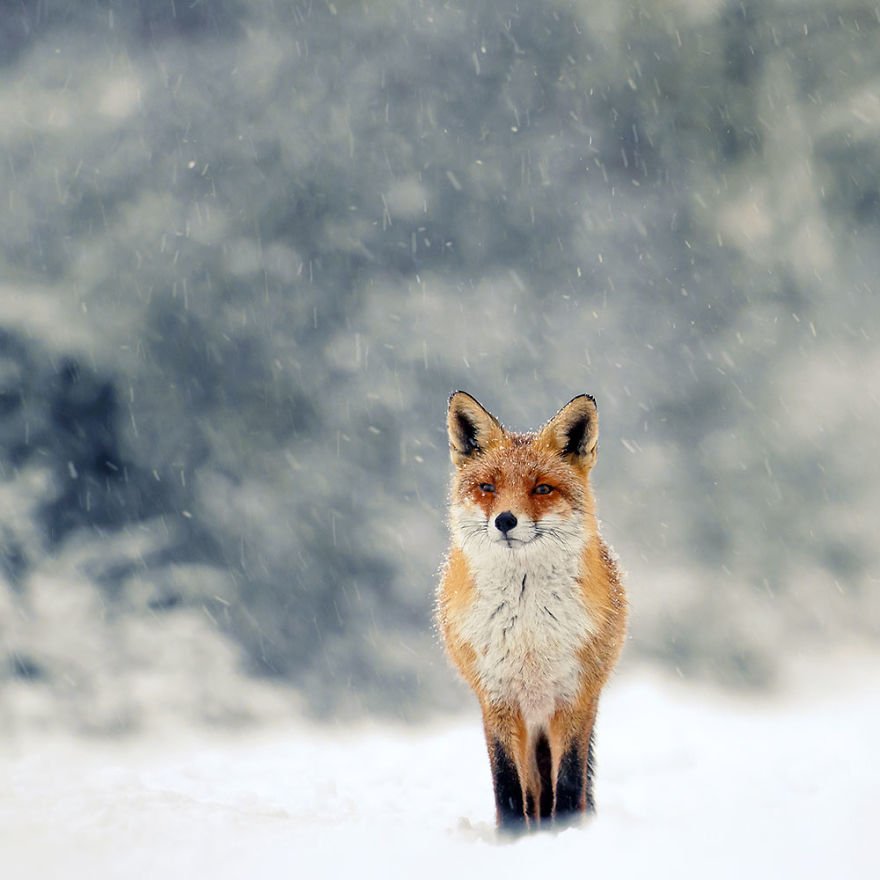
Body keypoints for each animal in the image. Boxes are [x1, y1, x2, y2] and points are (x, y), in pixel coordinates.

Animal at [436, 391, 627, 831]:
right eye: (487, 487)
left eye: (542, 488)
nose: (505, 520)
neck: (527, 631)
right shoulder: (497, 699)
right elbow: (507, 785)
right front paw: (513, 838)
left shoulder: (574, 697)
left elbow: (570, 782)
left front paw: (565, 833)